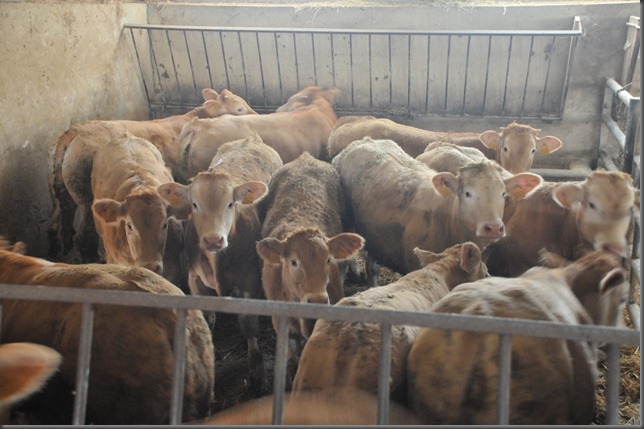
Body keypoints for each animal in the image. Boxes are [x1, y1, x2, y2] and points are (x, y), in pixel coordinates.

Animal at [48, 88, 255, 262]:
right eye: (239, 108)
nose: (255, 115)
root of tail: (74, 132)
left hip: (61, 197)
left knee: (56, 225)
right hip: (85, 199)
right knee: (83, 236)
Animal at [159, 134, 283, 391]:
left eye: (231, 204)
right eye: (194, 204)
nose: (214, 239)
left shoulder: (249, 280)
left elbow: (249, 324)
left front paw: (257, 369)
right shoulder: (195, 279)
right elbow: (207, 319)